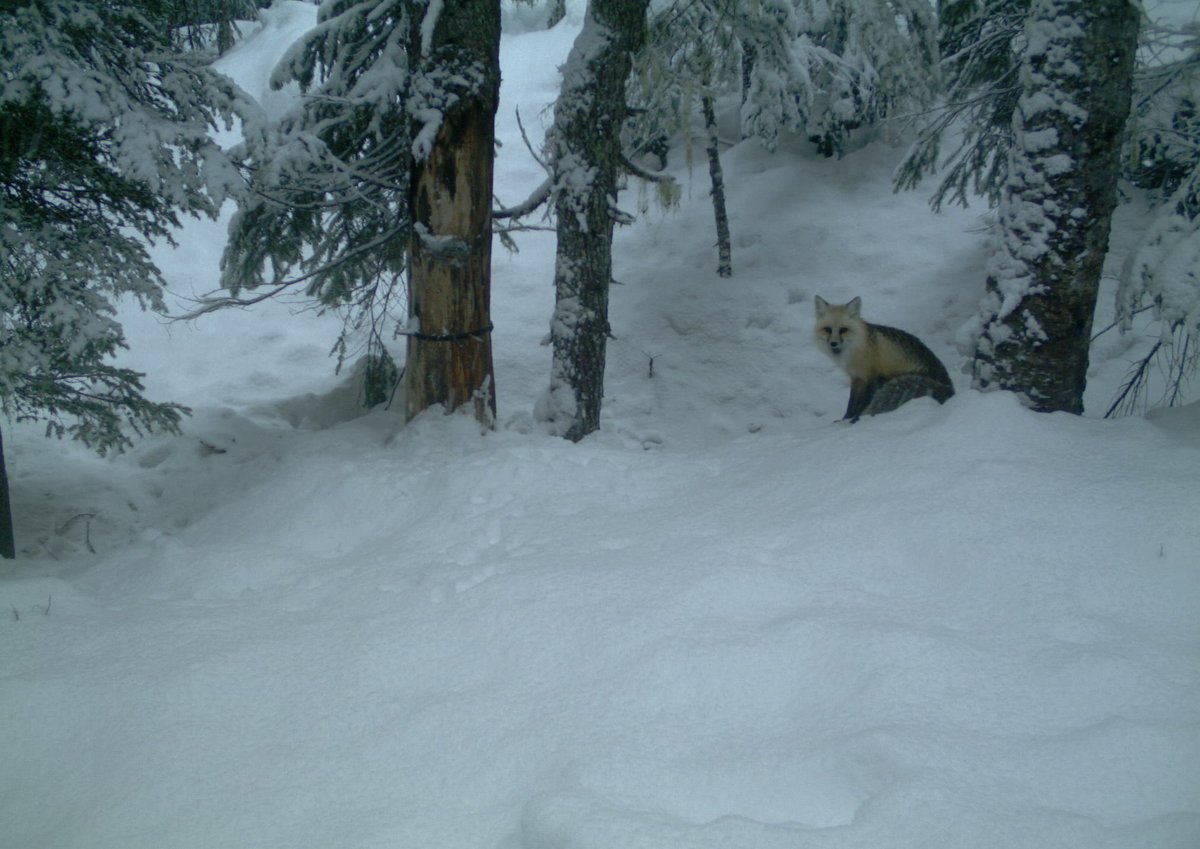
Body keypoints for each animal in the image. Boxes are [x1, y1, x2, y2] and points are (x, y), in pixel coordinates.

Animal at [813, 295, 954, 422]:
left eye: (843, 330)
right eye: (827, 329)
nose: (833, 343)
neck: (858, 348)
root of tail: (950, 389)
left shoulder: (872, 376)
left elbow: (862, 404)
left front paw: (855, 419)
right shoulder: (857, 378)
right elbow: (851, 404)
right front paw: (845, 419)